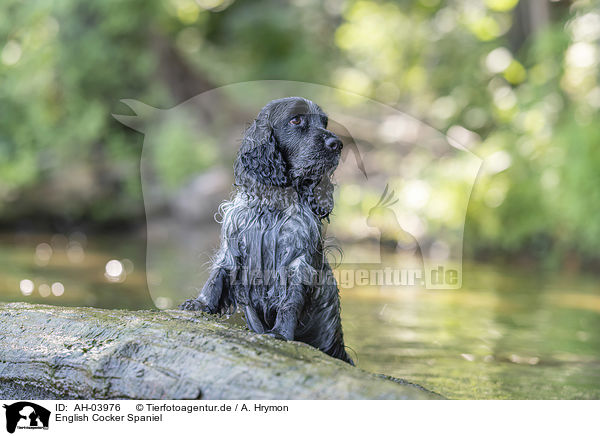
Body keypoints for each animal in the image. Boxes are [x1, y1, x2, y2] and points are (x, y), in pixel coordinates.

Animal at [180, 97, 354, 362]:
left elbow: (290, 302)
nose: (337, 144)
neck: (273, 206)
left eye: (324, 122)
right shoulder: (234, 247)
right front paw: (199, 304)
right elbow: (216, 277)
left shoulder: (298, 260)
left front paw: (280, 333)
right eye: (296, 120)